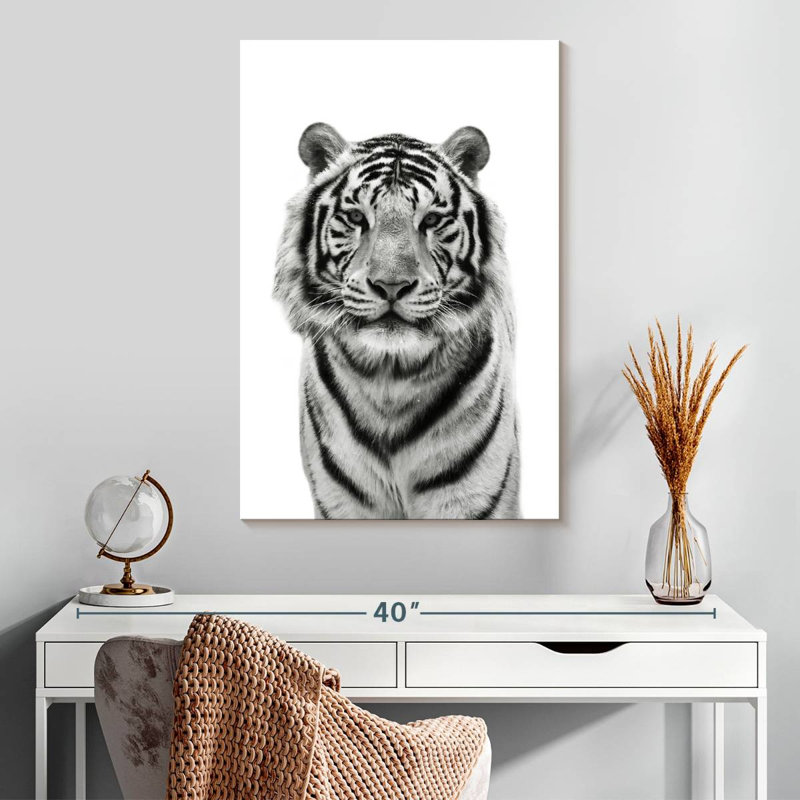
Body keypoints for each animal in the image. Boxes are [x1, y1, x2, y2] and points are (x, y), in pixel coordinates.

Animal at [273, 123, 520, 519]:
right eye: (356, 218)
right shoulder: (341, 502)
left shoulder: (472, 500)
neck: (390, 381)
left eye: (431, 220)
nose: (392, 285)